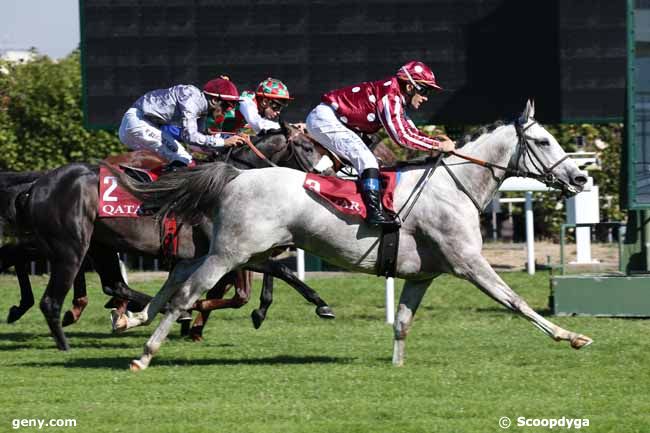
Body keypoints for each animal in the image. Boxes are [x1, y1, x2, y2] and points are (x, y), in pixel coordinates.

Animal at [110, 101, 592, 372]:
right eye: (544, 141)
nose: (581, 177)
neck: (454, 186)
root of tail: (236, 174)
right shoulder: (468, 262)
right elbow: (516, 302)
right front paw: (571, 337)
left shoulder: (422, 275)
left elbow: (402, 322)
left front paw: (396, 367)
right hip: (231, 252)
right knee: (186, 293)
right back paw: (144, 353)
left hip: (227, 249)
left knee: (178, 276)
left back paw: (131, 318)